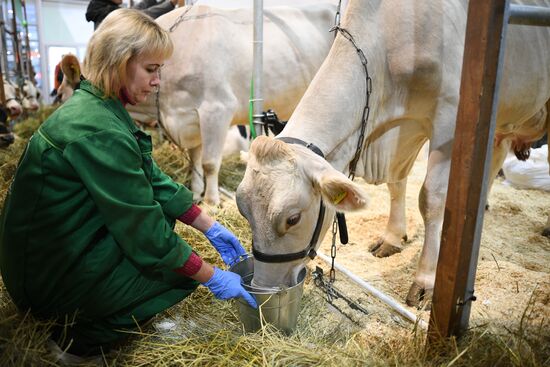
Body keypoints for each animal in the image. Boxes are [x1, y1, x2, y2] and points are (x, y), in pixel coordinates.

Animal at [128, 3, 338, 204]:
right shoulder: (190, 119)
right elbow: (194, 158)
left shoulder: (217, 109)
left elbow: (209, 163)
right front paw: (196, 194)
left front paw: (211, 201)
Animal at [237, 0, 550, 308]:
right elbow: (396, 184)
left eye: (292, 218)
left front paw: (425, 280)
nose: (263, 288)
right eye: (244, 212)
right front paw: (392, 238)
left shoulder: (448, 120)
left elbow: (432, 199)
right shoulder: (400, 131)